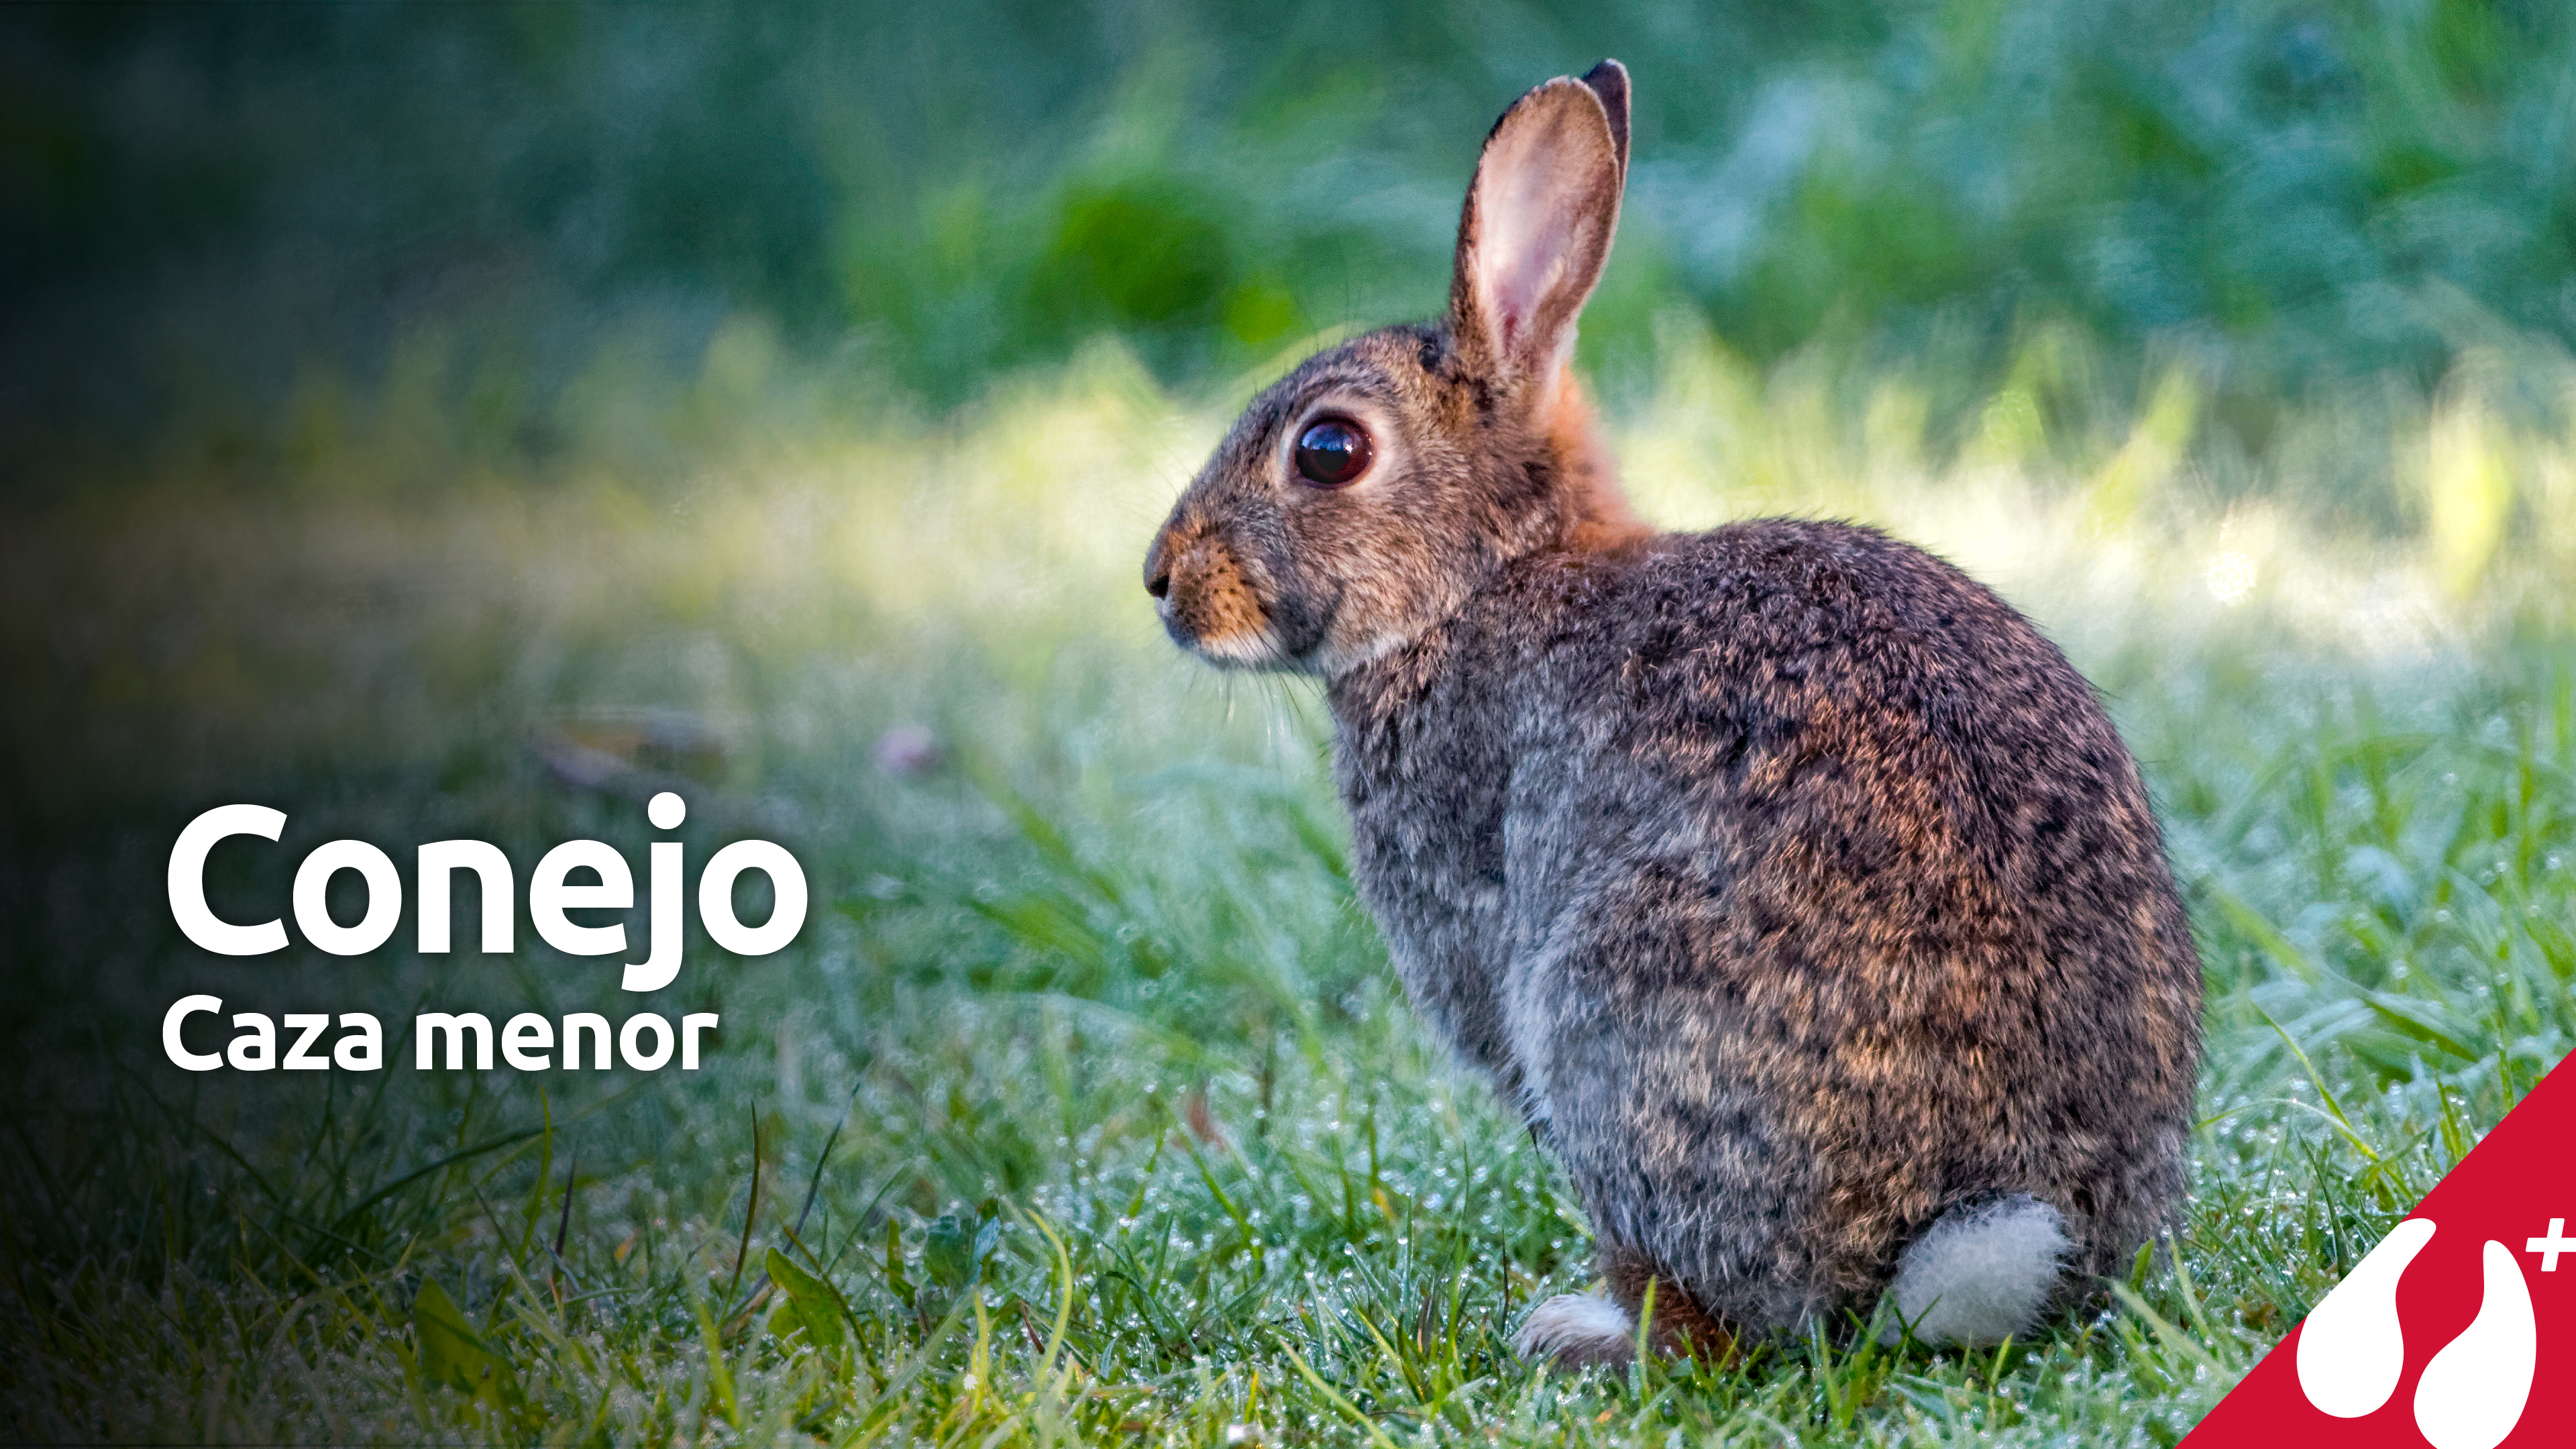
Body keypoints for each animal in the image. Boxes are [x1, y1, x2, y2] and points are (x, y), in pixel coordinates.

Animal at [1141, 59, 2202, 1366]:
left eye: (1328, 450)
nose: (1163, 580)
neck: (1487, 576)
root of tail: (1971, 1238)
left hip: (1603, 1010)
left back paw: (1581, 1331)